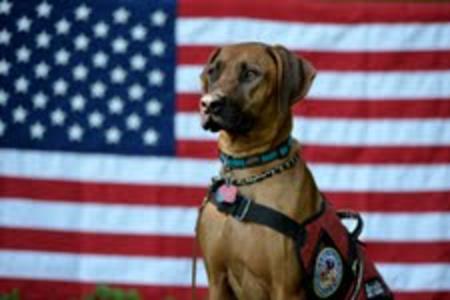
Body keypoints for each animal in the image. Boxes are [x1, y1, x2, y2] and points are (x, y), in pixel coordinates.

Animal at [195, 42, 392, 300]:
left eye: (251, 73)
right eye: (213, 72)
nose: (209, 103)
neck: (250, 171)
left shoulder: (286, 287)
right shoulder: (217, 281)